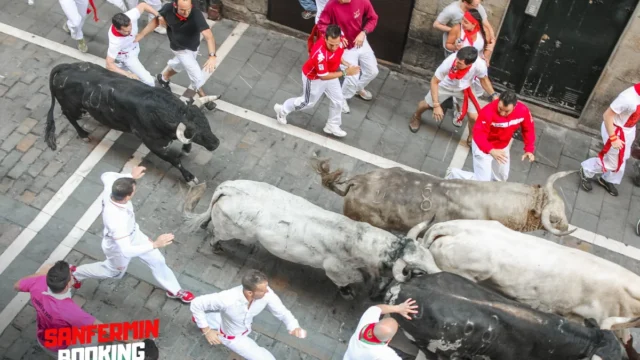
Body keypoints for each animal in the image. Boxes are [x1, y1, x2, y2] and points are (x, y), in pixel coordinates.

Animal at [44, 61, 220, 183]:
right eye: (194, 132)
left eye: (206, 123)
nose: (216, 143)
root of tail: (65, 66)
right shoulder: (155, 145)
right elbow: (175, 161)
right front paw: (190, 178)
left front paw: (186, 149)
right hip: (75, 108)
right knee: (67, 114)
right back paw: (83, 134)